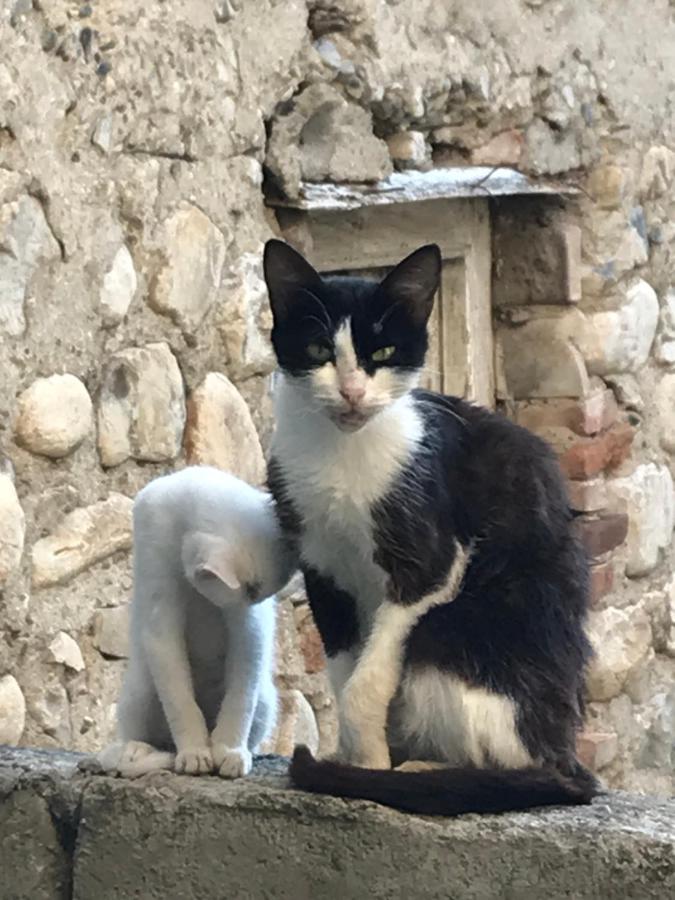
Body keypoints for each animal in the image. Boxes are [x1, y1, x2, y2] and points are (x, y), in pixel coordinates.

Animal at [95, 468, 296, 776]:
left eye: (259, 595)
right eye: (251, 591)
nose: (253, 605)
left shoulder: (249, 633)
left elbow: (240, 700)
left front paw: (230, 751)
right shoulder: (160, 615)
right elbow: (180, 701)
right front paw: (194, 753)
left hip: (264, 698)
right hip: (142, 689)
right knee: (144, 737)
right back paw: (138, 749)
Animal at [264, 239, 596, 816]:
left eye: (382, 354)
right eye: (318, 350)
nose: (351, 392)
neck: (342, 454)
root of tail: (566, 754)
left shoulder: (431, 562)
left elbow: (370, 677)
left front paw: (367, 767)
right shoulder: (323, 568)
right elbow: (345, 671)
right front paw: (359, 756)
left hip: (459, 625)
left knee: (515, 757)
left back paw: (431, 770)